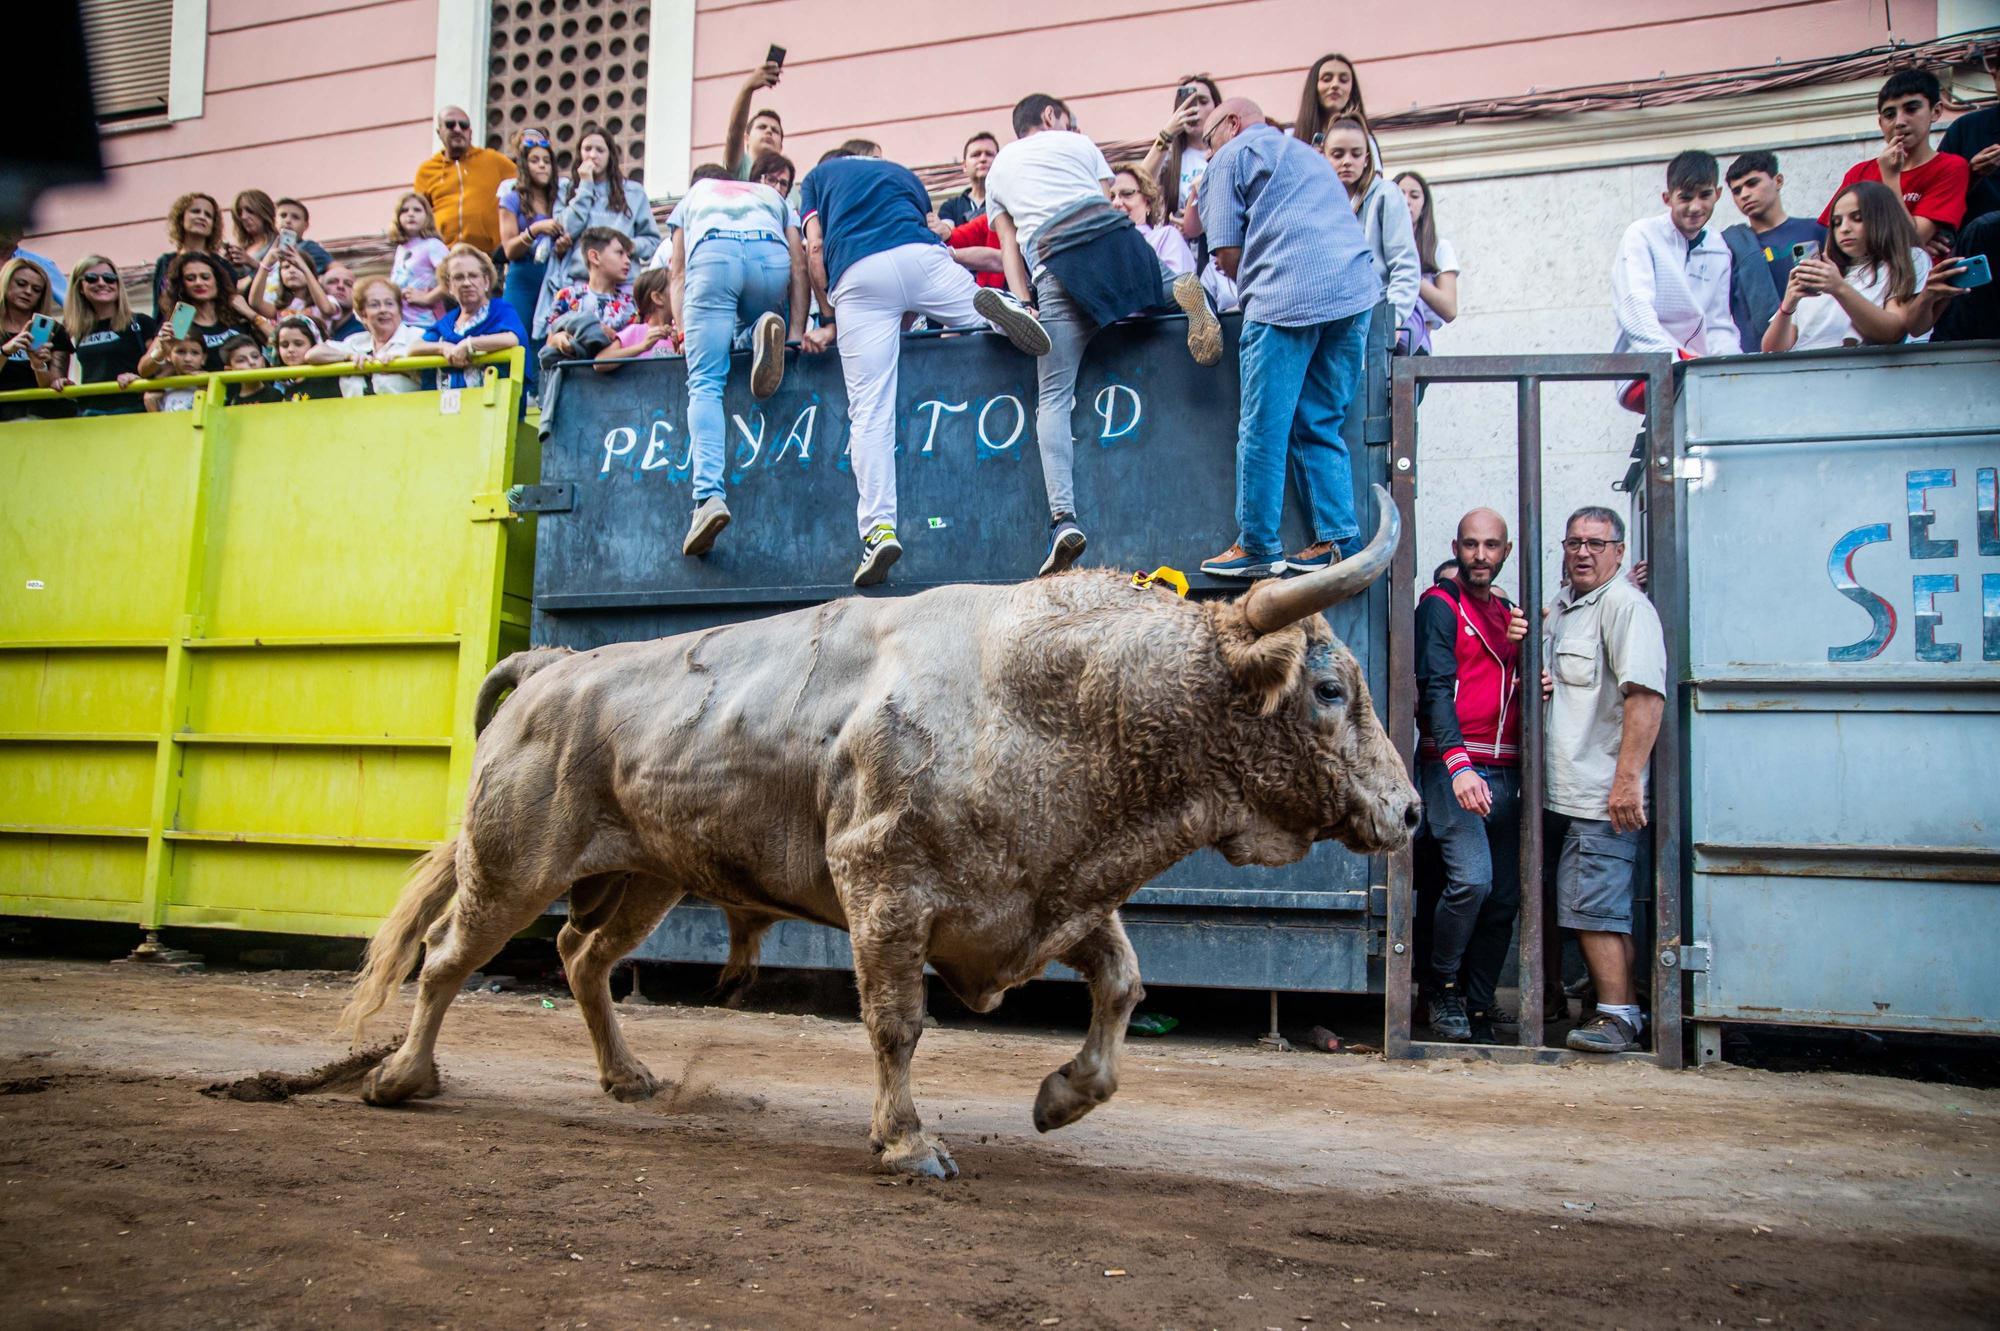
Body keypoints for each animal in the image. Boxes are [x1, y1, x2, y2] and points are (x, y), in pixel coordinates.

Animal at [340, 485, 1408, 1175]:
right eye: (1328, 688)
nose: (1406, 810)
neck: (1047, 693)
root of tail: (554, 668)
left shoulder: (1055, 897)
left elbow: (1123, 985)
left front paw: (1061, 1098)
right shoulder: (885, 893)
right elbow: (898, 1022)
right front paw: (907, 1142)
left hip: (649, 876)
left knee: (583, 955)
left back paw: (628, 1077)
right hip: (513, 864)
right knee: (449, 954)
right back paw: (402, 1076)